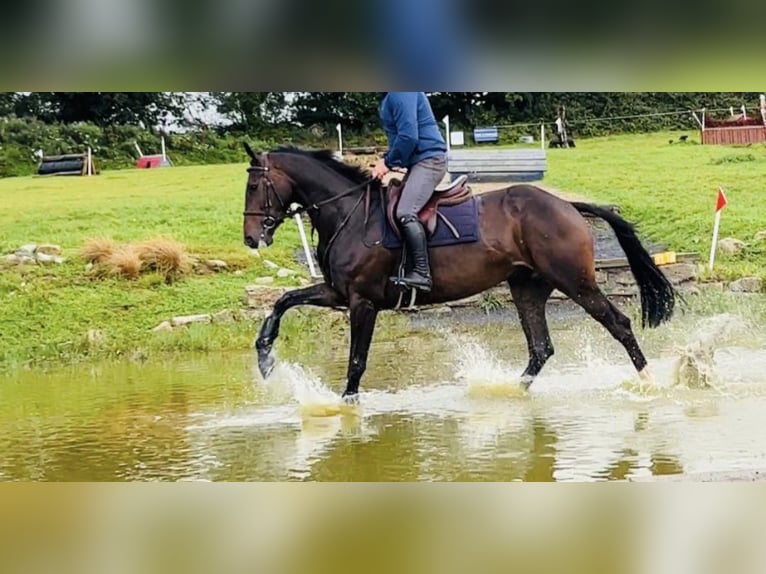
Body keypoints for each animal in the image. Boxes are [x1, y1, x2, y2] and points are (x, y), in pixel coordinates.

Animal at [241, 144, 675, 402]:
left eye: (255, 187)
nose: (250, 238)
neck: (348, 214)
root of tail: (568, 206)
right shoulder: (337, 293)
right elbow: (283, 301)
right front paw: (265, 357)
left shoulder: (362, 302)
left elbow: (356, 361)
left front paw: (347, 408)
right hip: (527, 286)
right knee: (540, 347)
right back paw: (506, 393)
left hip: (575, 281)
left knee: (618, 323)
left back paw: (650, 382)